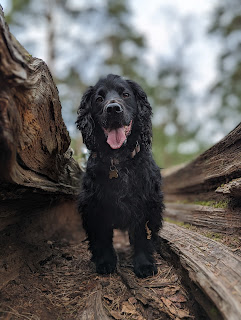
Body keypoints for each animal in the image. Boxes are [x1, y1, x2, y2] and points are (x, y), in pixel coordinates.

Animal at [77, 74, 164, 278]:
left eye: (125, 94)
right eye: (99, 99)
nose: (113, 109)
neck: (118, 161)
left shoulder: (145, 204)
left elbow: (141, 235)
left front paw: (144, 264)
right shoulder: (94, 207)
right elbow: (101, 237)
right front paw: (105, 262)